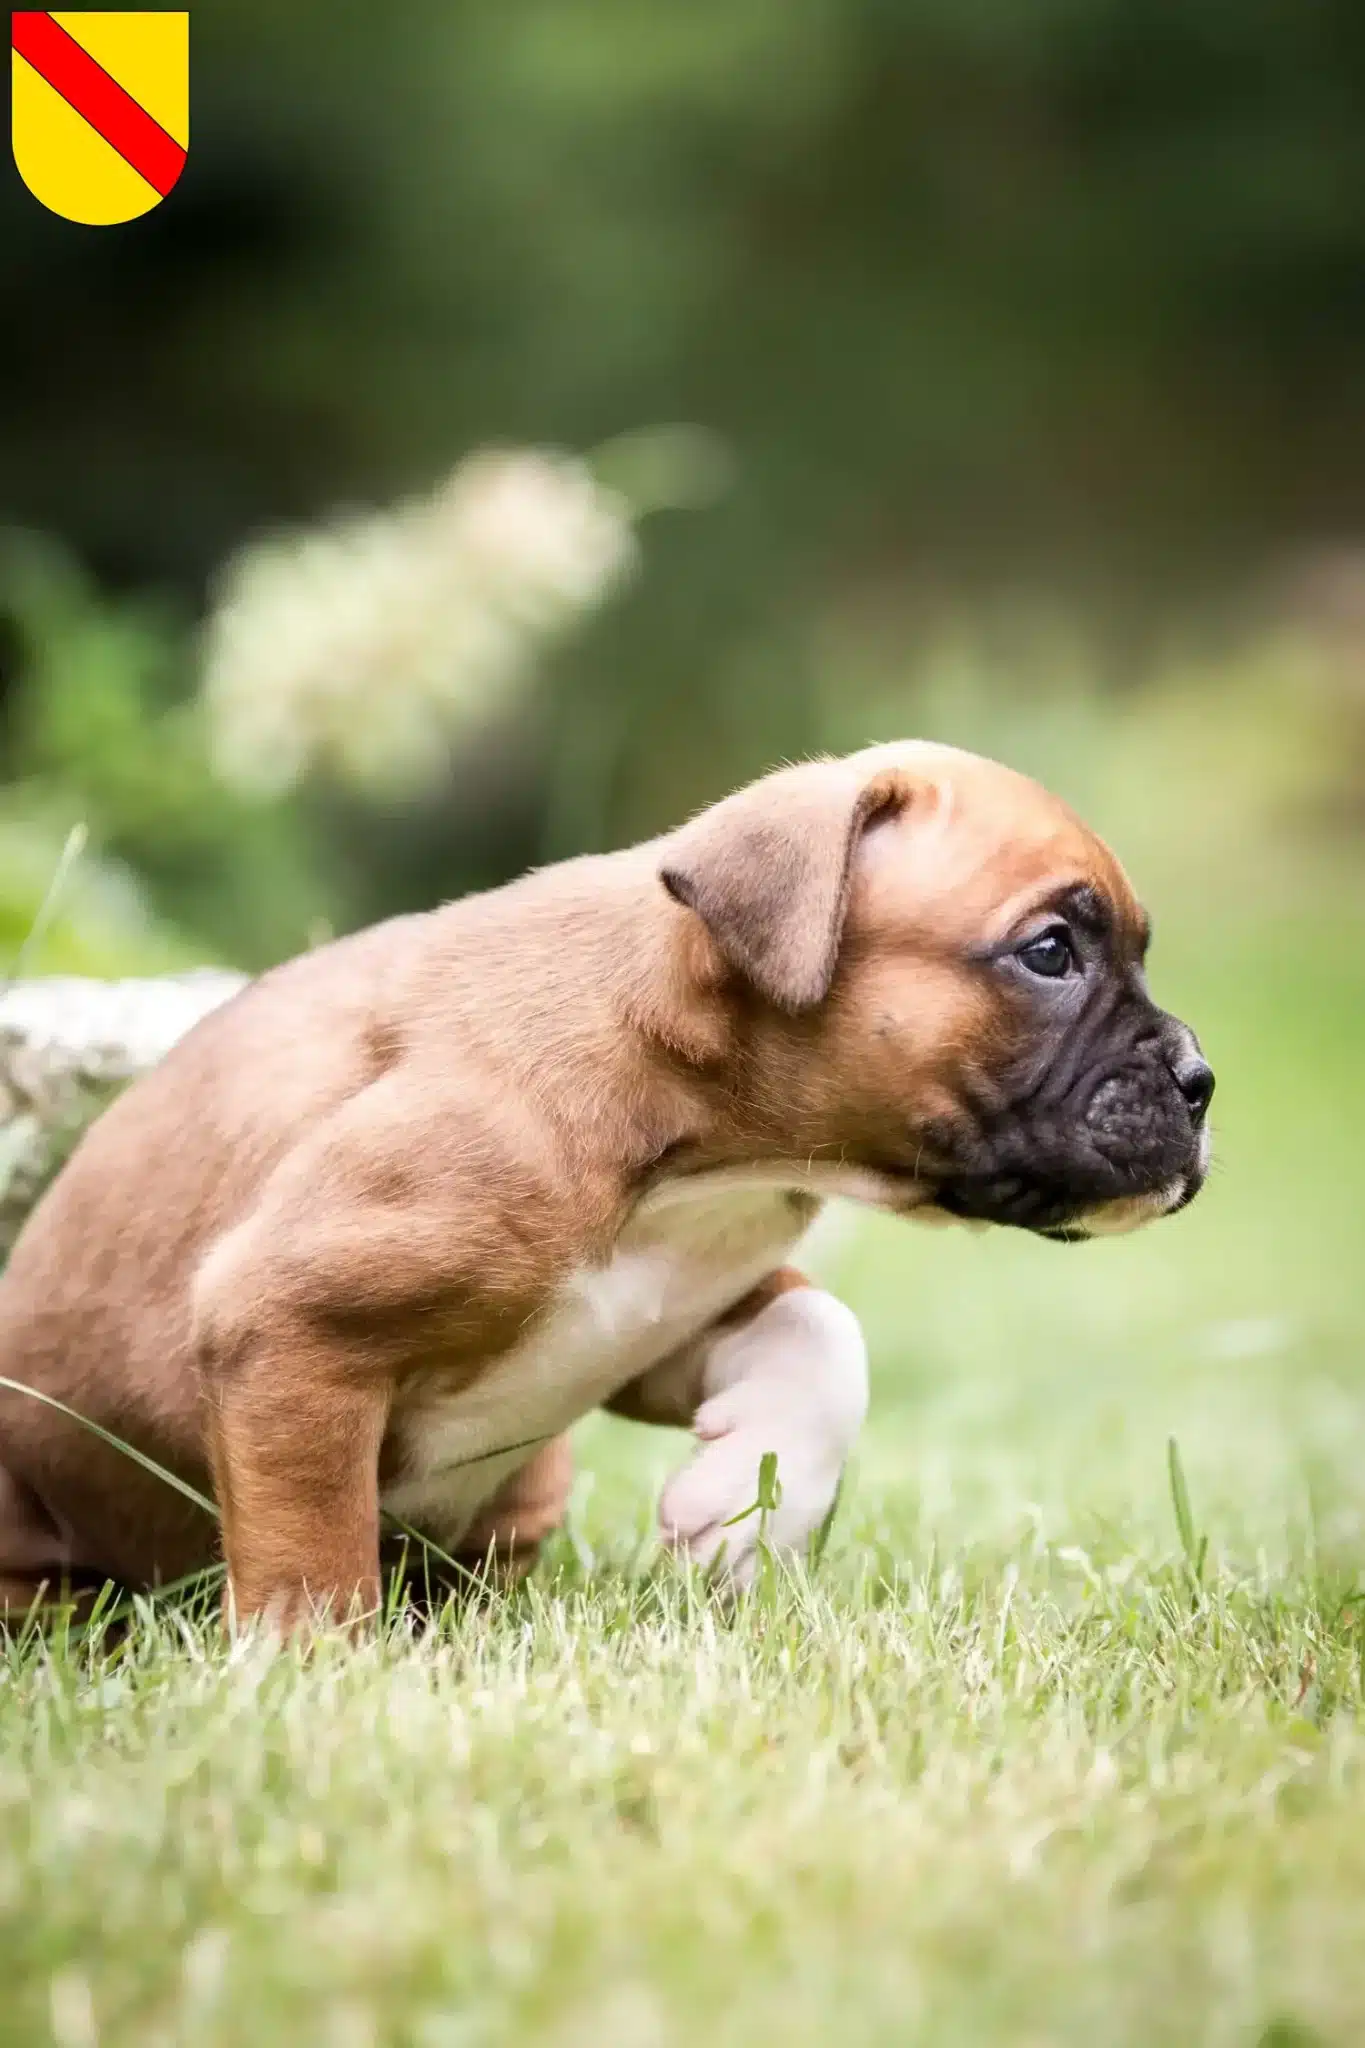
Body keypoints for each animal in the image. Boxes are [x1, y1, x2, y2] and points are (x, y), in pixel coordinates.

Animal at [0, 745, 1219, 1622]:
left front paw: (744, 1515)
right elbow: (310, 1546)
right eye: (1049, 951)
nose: (1201, 1081)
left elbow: (823, 1334)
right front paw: (319, 1678)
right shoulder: (284, 1322)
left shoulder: (652, 1318)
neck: (690, 1134)